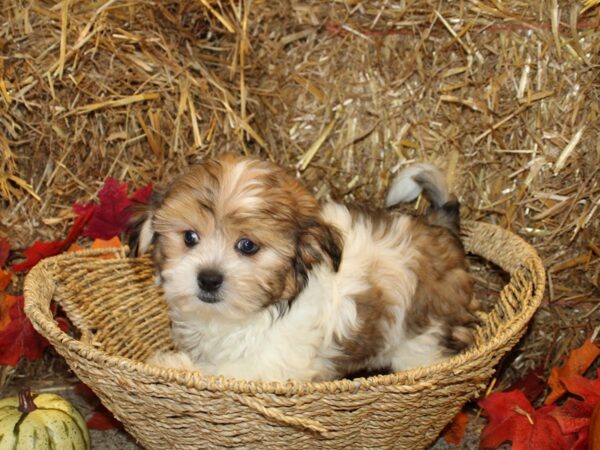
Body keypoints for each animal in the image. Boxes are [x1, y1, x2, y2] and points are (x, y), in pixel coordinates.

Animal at [131, 154, 478, 380]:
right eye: (189, 237)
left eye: (247, 245)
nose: (209, 279)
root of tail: (441, 230)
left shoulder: (269, 364)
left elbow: (220, 373)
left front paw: (172, 365)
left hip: (422, 339)